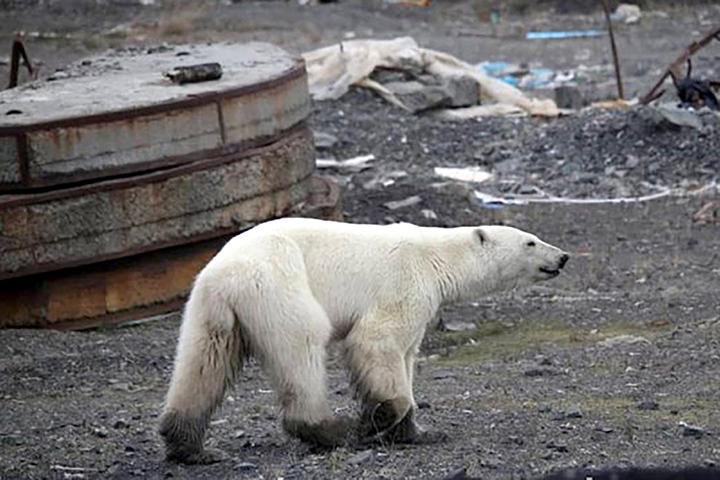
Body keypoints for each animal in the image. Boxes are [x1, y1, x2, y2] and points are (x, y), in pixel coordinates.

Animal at [158, 218, 568, 462]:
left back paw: (189, 445)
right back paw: (332, 430)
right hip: (278, 284)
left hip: (209, 308)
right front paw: (377, 421)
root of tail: (225, 274)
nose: (563, 256)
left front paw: (419, 432)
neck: (436, 256)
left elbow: (407, 356)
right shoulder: (404, 283)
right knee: (302, 347)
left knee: (203, 362)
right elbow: (377, 341)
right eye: (530, 242)